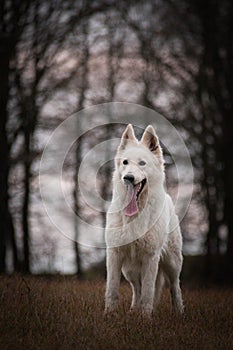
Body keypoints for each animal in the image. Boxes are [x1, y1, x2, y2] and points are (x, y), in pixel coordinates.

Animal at [105, 124, 184, 316]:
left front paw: (145, 318)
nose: (128, 178)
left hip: (172, 263)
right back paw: (133, 310)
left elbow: (149, 291)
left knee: (174, 286)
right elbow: (112, 289)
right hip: (129, 270)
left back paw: (179, 311)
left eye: (142, 163)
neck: (135, 214)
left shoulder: (150, 257)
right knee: (136, 288)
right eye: (125, 162)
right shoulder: (114, 254)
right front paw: (109, 315)